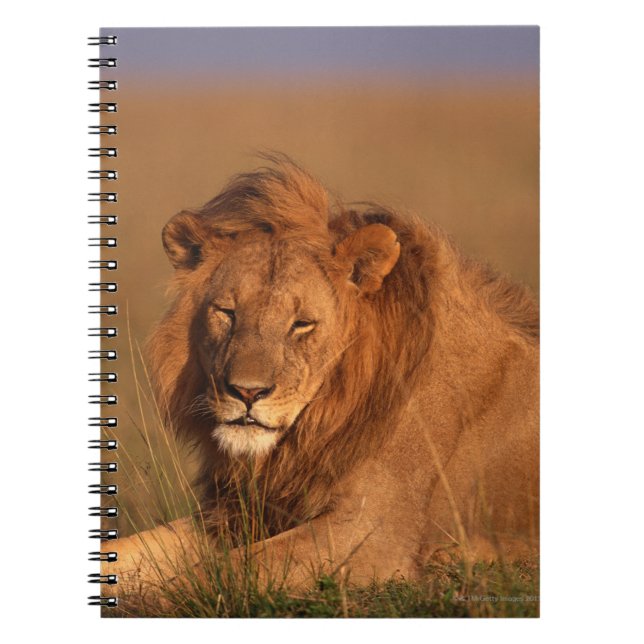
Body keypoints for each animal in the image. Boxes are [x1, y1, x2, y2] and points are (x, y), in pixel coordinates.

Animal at [107, 155, 539, 599]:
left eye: (301, 324)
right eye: (227, 313)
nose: (246, 392)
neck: (320, 422)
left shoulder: (372, 535)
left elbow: (215, 574)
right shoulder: (236, 513)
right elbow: (132, 550)